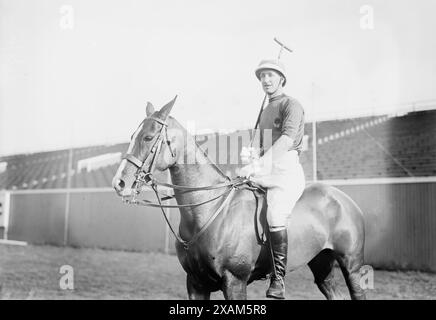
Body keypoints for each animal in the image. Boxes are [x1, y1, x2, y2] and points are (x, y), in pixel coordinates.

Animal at [111, 97, 364, 300]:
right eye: (133, 136)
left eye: (148, 137)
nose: (119, 183)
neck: (208, 211)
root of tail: (344, 198)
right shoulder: (195, 283)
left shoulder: (235, 281)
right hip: (322, 264)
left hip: (351, 265)